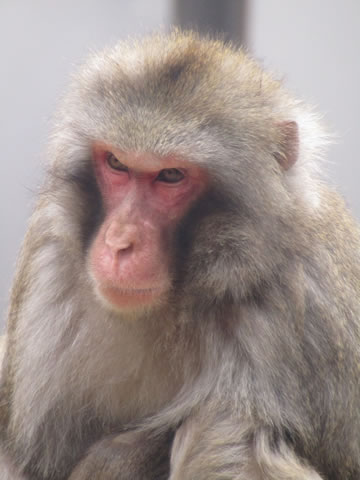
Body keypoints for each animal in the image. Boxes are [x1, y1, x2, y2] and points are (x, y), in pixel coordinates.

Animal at [0, 29, 360, 476]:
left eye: (171, 175)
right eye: (116, 163)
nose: (120, 242)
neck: (172, 306)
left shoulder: (298, 302)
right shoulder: (49, 258)